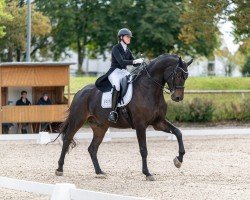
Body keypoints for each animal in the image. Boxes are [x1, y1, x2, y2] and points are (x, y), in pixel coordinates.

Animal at [55, 54, 193, 180]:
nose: (178, 97)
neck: (150, 90)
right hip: (77, 120)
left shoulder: (158, 122)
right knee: (67, 139)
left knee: (92, 148)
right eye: (178, 75)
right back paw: (59, 169)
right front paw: (147, 173)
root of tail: (80, 91)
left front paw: (178, 160)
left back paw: (99, 172)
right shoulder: (140, 125)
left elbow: (178, 132)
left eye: (186, 77)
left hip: (100, 127)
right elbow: (143, 149)